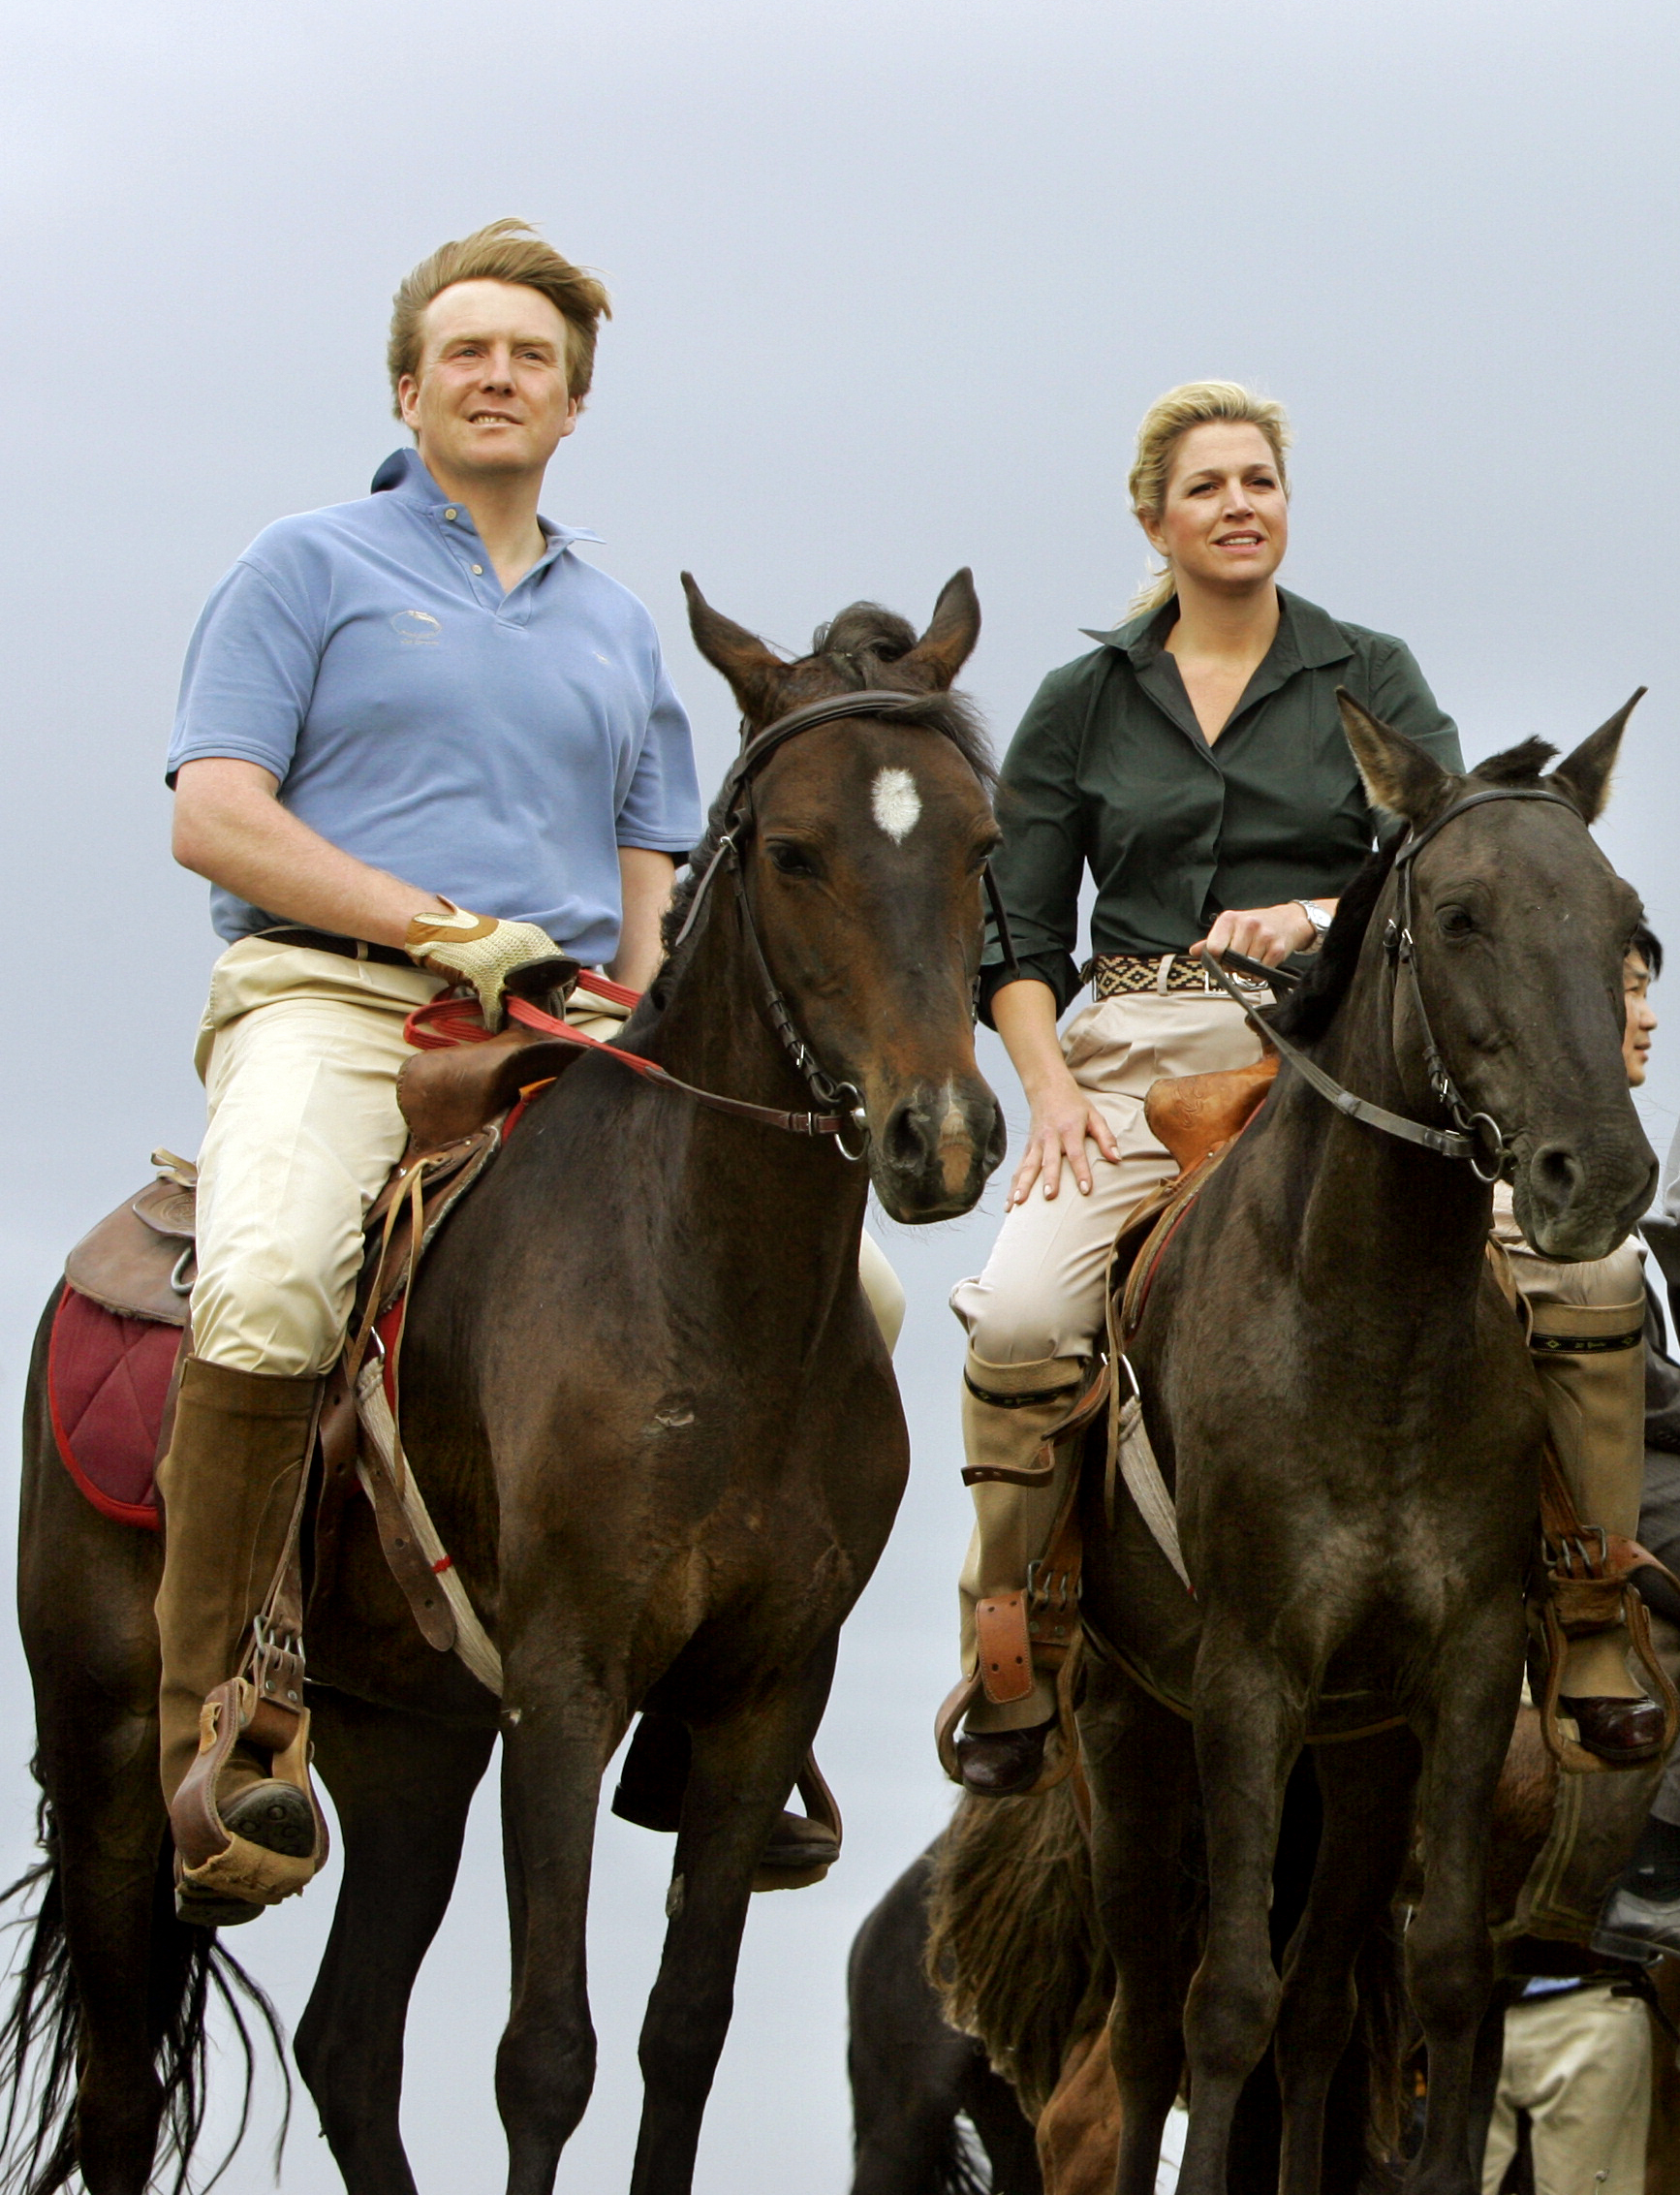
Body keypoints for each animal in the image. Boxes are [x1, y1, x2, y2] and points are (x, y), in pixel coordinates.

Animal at [6, 570, 1009, 2195]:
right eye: (794, 851)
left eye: (978, 844)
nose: (943, 1135)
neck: (706, 1293)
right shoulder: (563, 1684)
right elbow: (548, 2052)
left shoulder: (759, 1689)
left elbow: (683, 2034)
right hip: (104, 1752)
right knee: (117, 2094)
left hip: (409, 1742)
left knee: (349, 2046)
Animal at [1078, 689, 1658, 2195]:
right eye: (1459, 916)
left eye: (1624, 919)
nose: (1602, 1174)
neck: (1367, 1329)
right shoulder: (1245, 1676)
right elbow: (1223, 2000)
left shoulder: (1457, 1672)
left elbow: (1443, 1976)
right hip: (1126, 1726)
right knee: (1147, 2030)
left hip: (1359, 1752)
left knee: (1326, 2012)